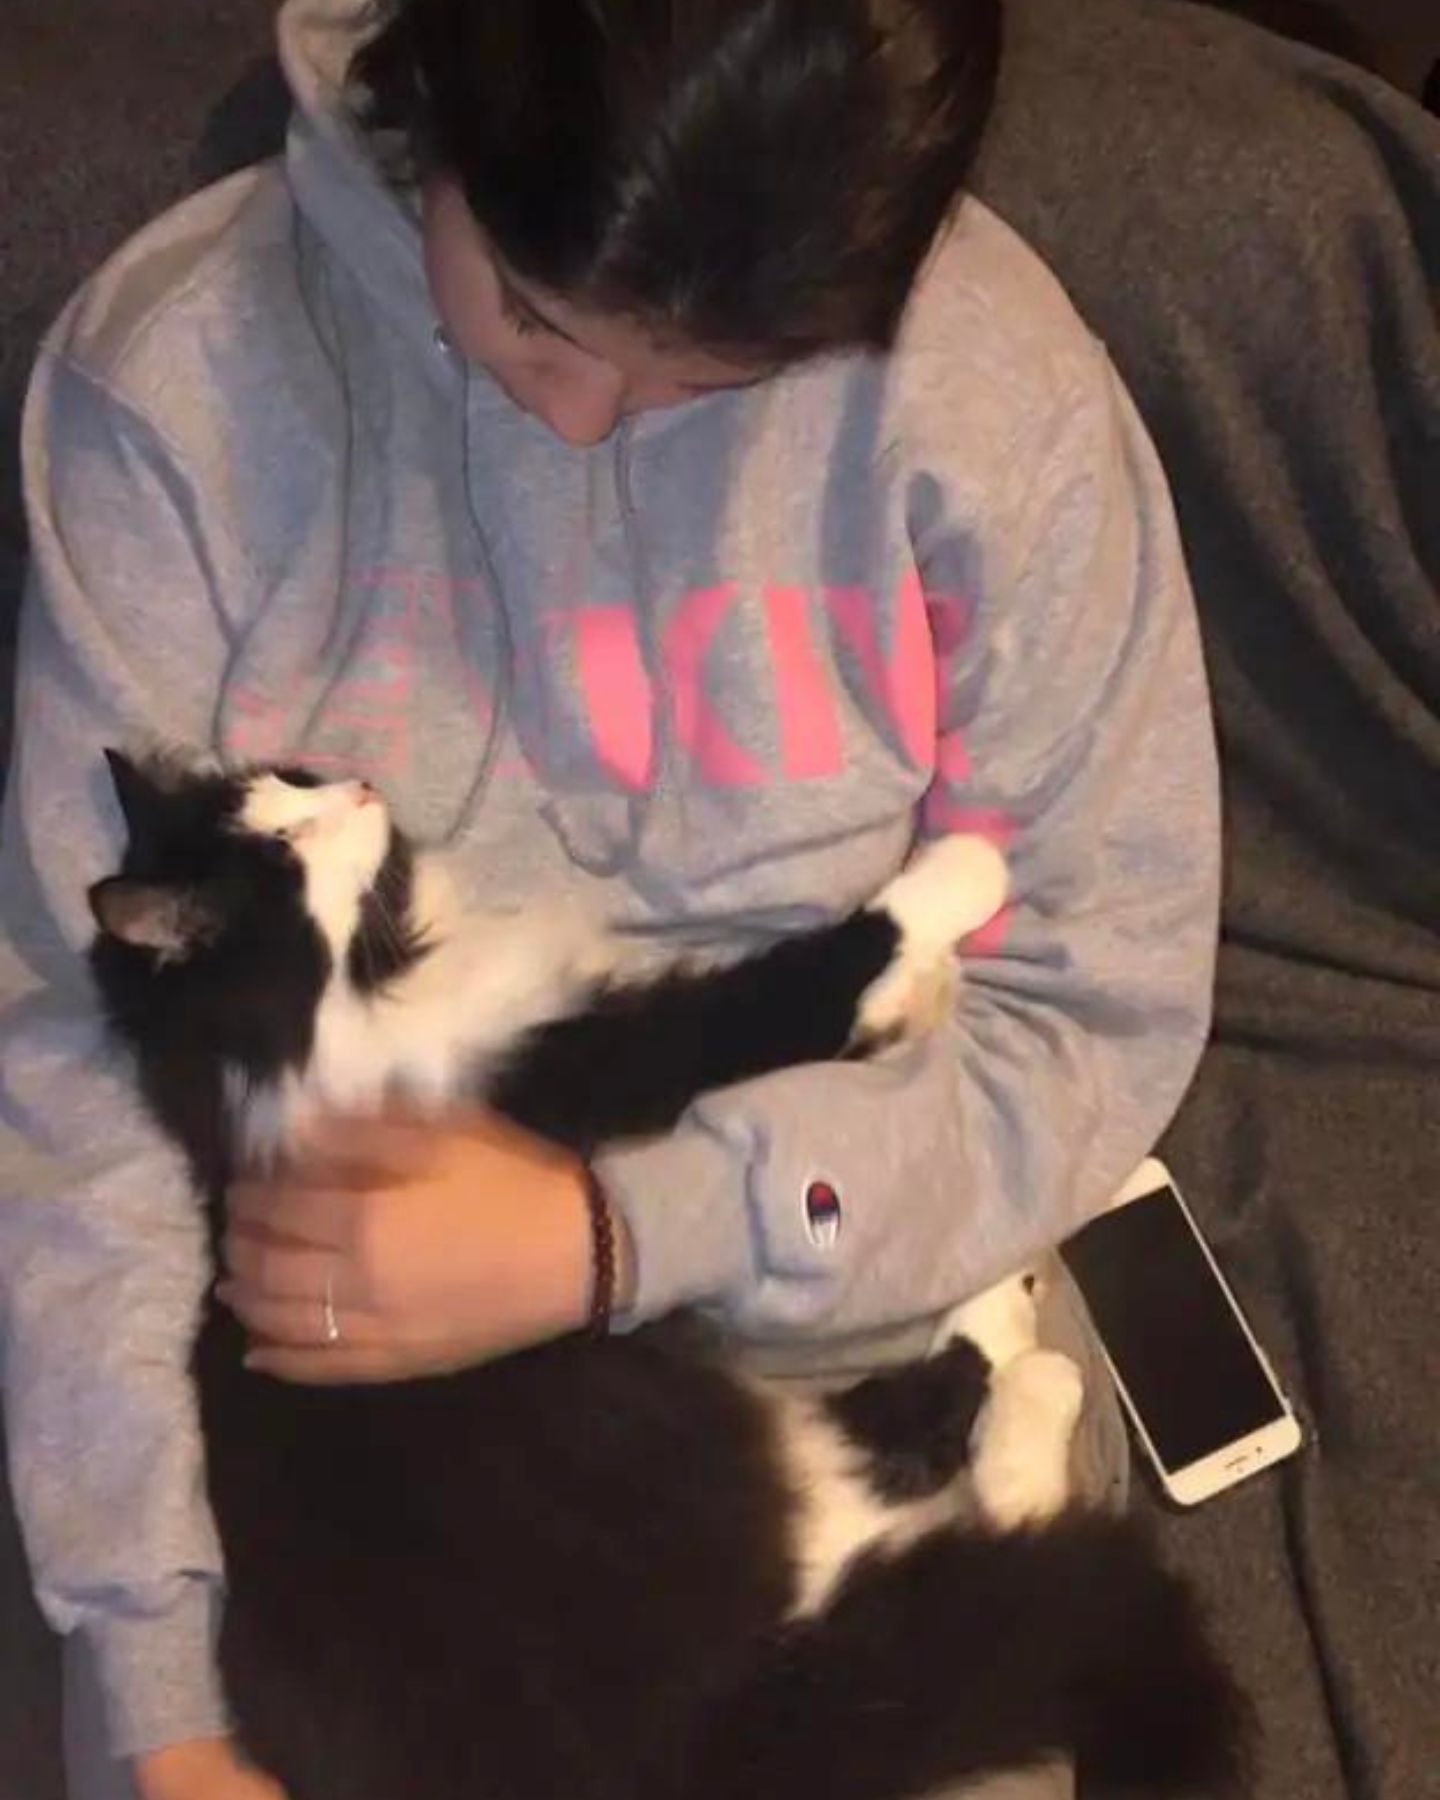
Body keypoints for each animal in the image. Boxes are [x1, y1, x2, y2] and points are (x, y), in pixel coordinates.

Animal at [84, 748, 1245, 1800]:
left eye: (292, 780)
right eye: (284, 846)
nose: (358, 787)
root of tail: (704, 1745)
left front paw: (915, 1002)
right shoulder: (595, 1061)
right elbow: (790, 984)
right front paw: (960, 876)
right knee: (954, 1485)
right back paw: (1018, 1344)